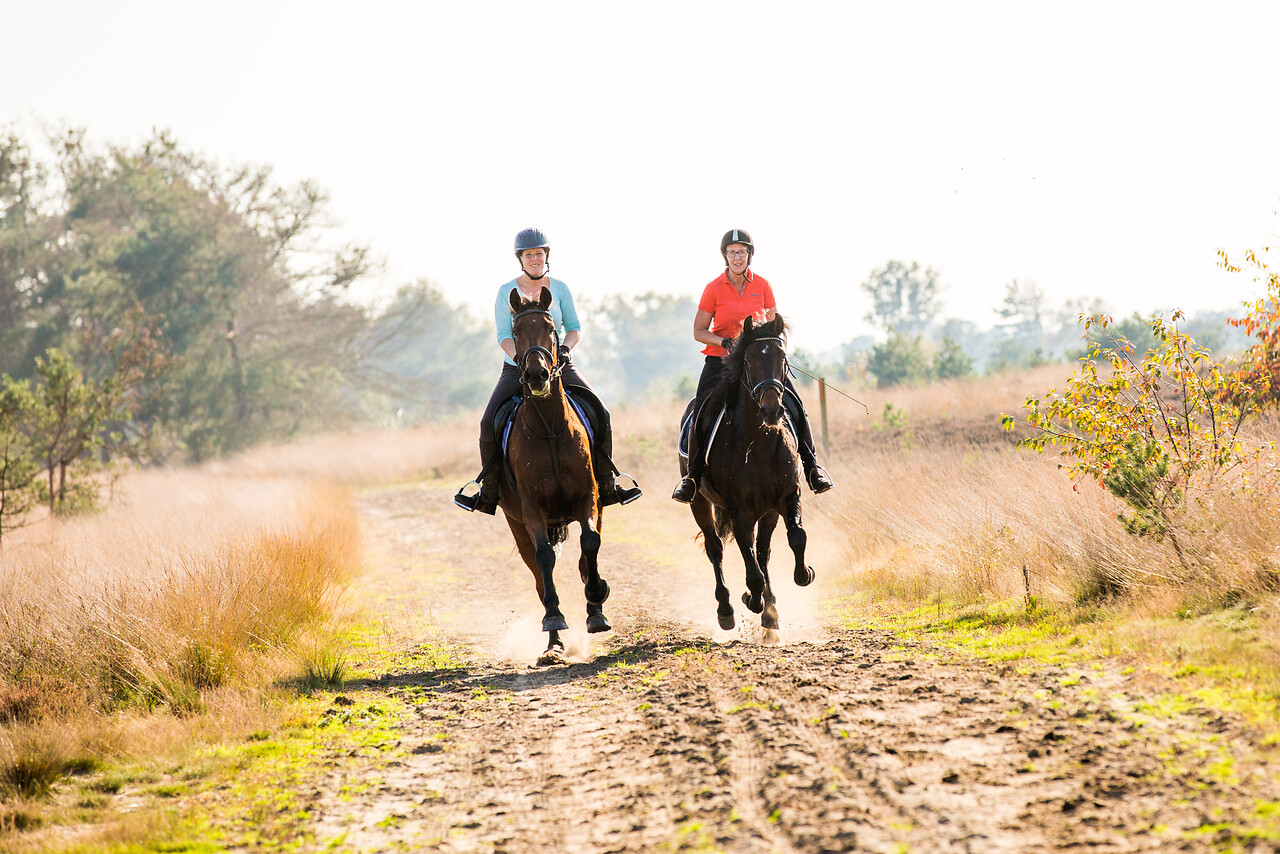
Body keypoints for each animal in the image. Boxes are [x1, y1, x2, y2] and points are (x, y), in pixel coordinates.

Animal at [496, 286, 606, 665]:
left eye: (550, 328)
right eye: (516, 332)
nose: (536, 376)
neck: (548, 428)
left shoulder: (590, 497)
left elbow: (590, 543)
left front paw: (597, 605)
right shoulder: (531, 511)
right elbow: (545, 561)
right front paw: (555, 623)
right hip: (516, 524)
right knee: (540, 577)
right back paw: (554, 645)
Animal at [680, 313, 808, 635]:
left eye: (782, 357)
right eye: (748, 359)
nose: (772, 410)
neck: (758, 441)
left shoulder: (788, 497)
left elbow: (796, 537)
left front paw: (804, 574)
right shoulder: (739, 511)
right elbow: (750, 566)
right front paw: (751, 598)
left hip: (767, 511)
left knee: (762, 551)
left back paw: (770, 610)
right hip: (699, 502)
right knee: (716, 549)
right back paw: (726, 610)